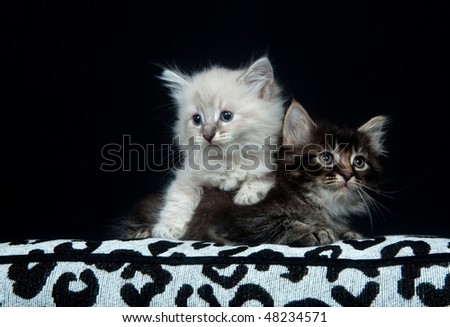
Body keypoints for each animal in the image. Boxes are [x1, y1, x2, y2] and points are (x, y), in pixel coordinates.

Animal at [117, 101, 386, 247]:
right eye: (326, 157)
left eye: (359, 161)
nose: (348, 175)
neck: (321, 204)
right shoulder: (235, 219)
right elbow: (277, 223)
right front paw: (312, 230)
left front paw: (346, 232)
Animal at [151, 57, 284, 240]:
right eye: (197, 119)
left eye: (226, 116)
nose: (207, 135)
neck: (226, 160)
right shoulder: (187, 176)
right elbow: (178, 200)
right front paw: (167, 227)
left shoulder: (271, 164)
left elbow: (260, 177)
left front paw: (246, 196)